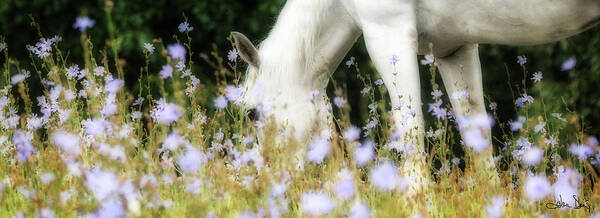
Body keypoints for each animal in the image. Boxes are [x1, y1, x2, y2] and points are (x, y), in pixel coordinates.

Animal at [232, 0, 600, 194]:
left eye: (251, 113)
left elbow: (412, 134)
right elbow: (476, 136)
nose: (269, 185)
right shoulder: (455, 50)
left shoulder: (388, 34)